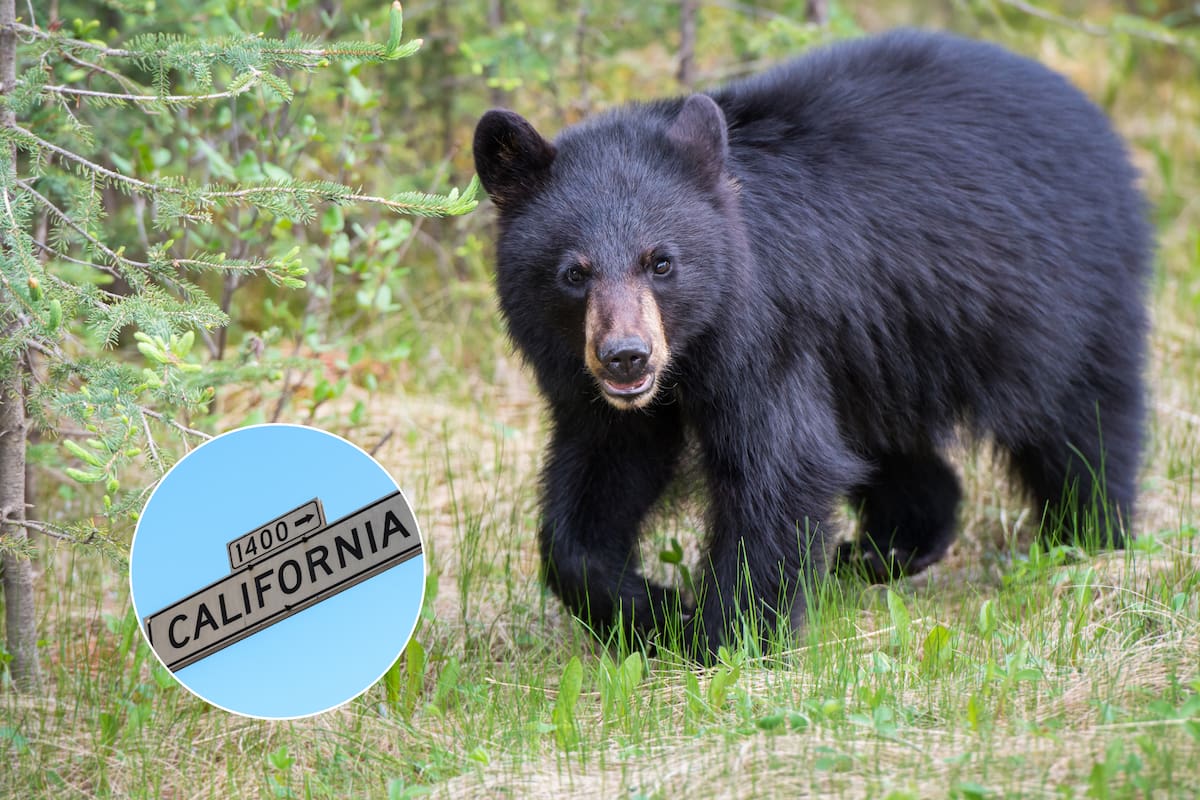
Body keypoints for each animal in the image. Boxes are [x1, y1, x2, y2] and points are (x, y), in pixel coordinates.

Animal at [473, 29, 1151, 659]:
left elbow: (780, 469)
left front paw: (725, 636)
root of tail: (1092, 115)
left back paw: (1087, 534)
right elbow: (600, 477)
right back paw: (889, 548)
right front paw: (650, 610)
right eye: (573, 272)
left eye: (661, 262)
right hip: (884, 347)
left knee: (1082, 418)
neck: (691, 352)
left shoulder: (768, 334)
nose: (626, 356)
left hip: (1063, 297)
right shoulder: (595, 390)